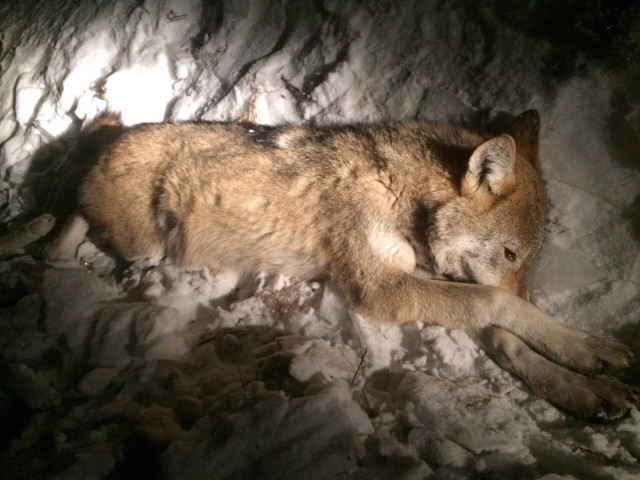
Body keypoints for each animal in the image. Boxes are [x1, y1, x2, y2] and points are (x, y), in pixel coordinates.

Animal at [43, 110, 636, 418]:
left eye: (529, 262)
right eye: (510, 254)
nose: (527, 285)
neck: (402, 194)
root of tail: (111, 138)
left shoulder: (429, 281)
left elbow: (506, 331)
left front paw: (583, 381)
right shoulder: (383, 291)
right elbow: (497, 302)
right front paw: (590, 348)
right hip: (139, 241)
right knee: (73, 211)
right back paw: (51, 248)